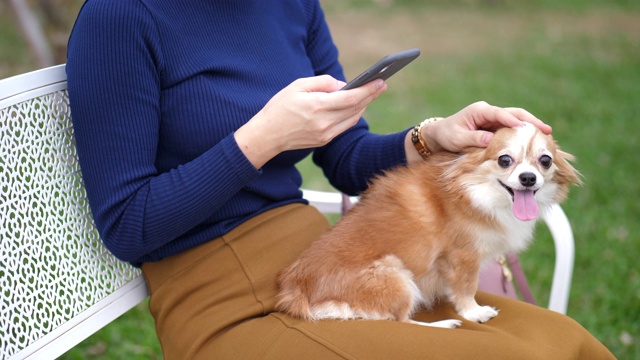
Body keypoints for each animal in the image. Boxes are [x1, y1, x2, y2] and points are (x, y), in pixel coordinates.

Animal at [276, 122, 580, 328]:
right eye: (505, 160)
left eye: (545, 161)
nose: (528, 178)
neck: (474, 193)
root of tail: (297, 292)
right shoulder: (462, 257)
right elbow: (467, 288)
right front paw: (474, 312)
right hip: (395, 274)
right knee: (400, 321)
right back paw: (444, 324)